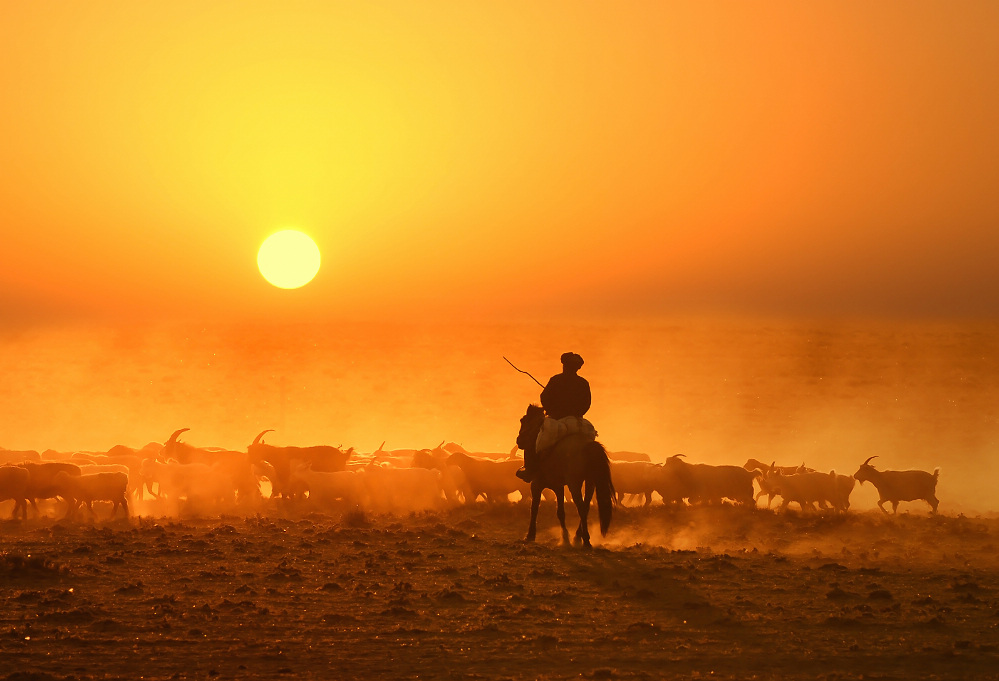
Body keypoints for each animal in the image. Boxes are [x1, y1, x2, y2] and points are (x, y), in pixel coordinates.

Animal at [520, 404, 612, 548]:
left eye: (523, 421)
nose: (519, 441)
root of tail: (587, 445)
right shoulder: (558, 487)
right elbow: (560, 512)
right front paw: (565, 538)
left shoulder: (536, 484)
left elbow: (534, 508)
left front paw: (530, 535)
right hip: (590, 482)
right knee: (586, 507)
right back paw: (577, 537)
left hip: (574, 483)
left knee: (581, 507)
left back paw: (586, 540)